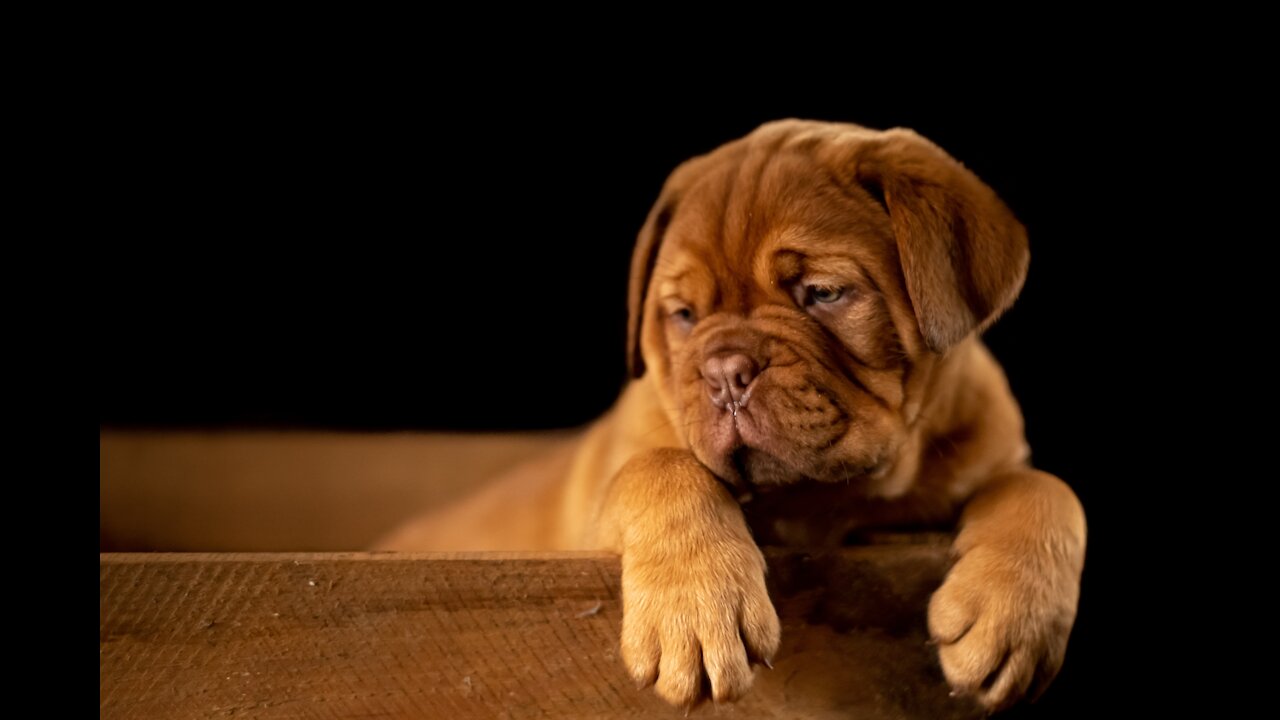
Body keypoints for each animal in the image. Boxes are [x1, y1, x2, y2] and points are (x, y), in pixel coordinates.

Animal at [373, 119, 1085, 712]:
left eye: (823, 293)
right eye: (683, 316)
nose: (725, 373)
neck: (823, 500)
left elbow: (1046, 487)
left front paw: (1013, 615)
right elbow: (663, 467)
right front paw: (695, 609)